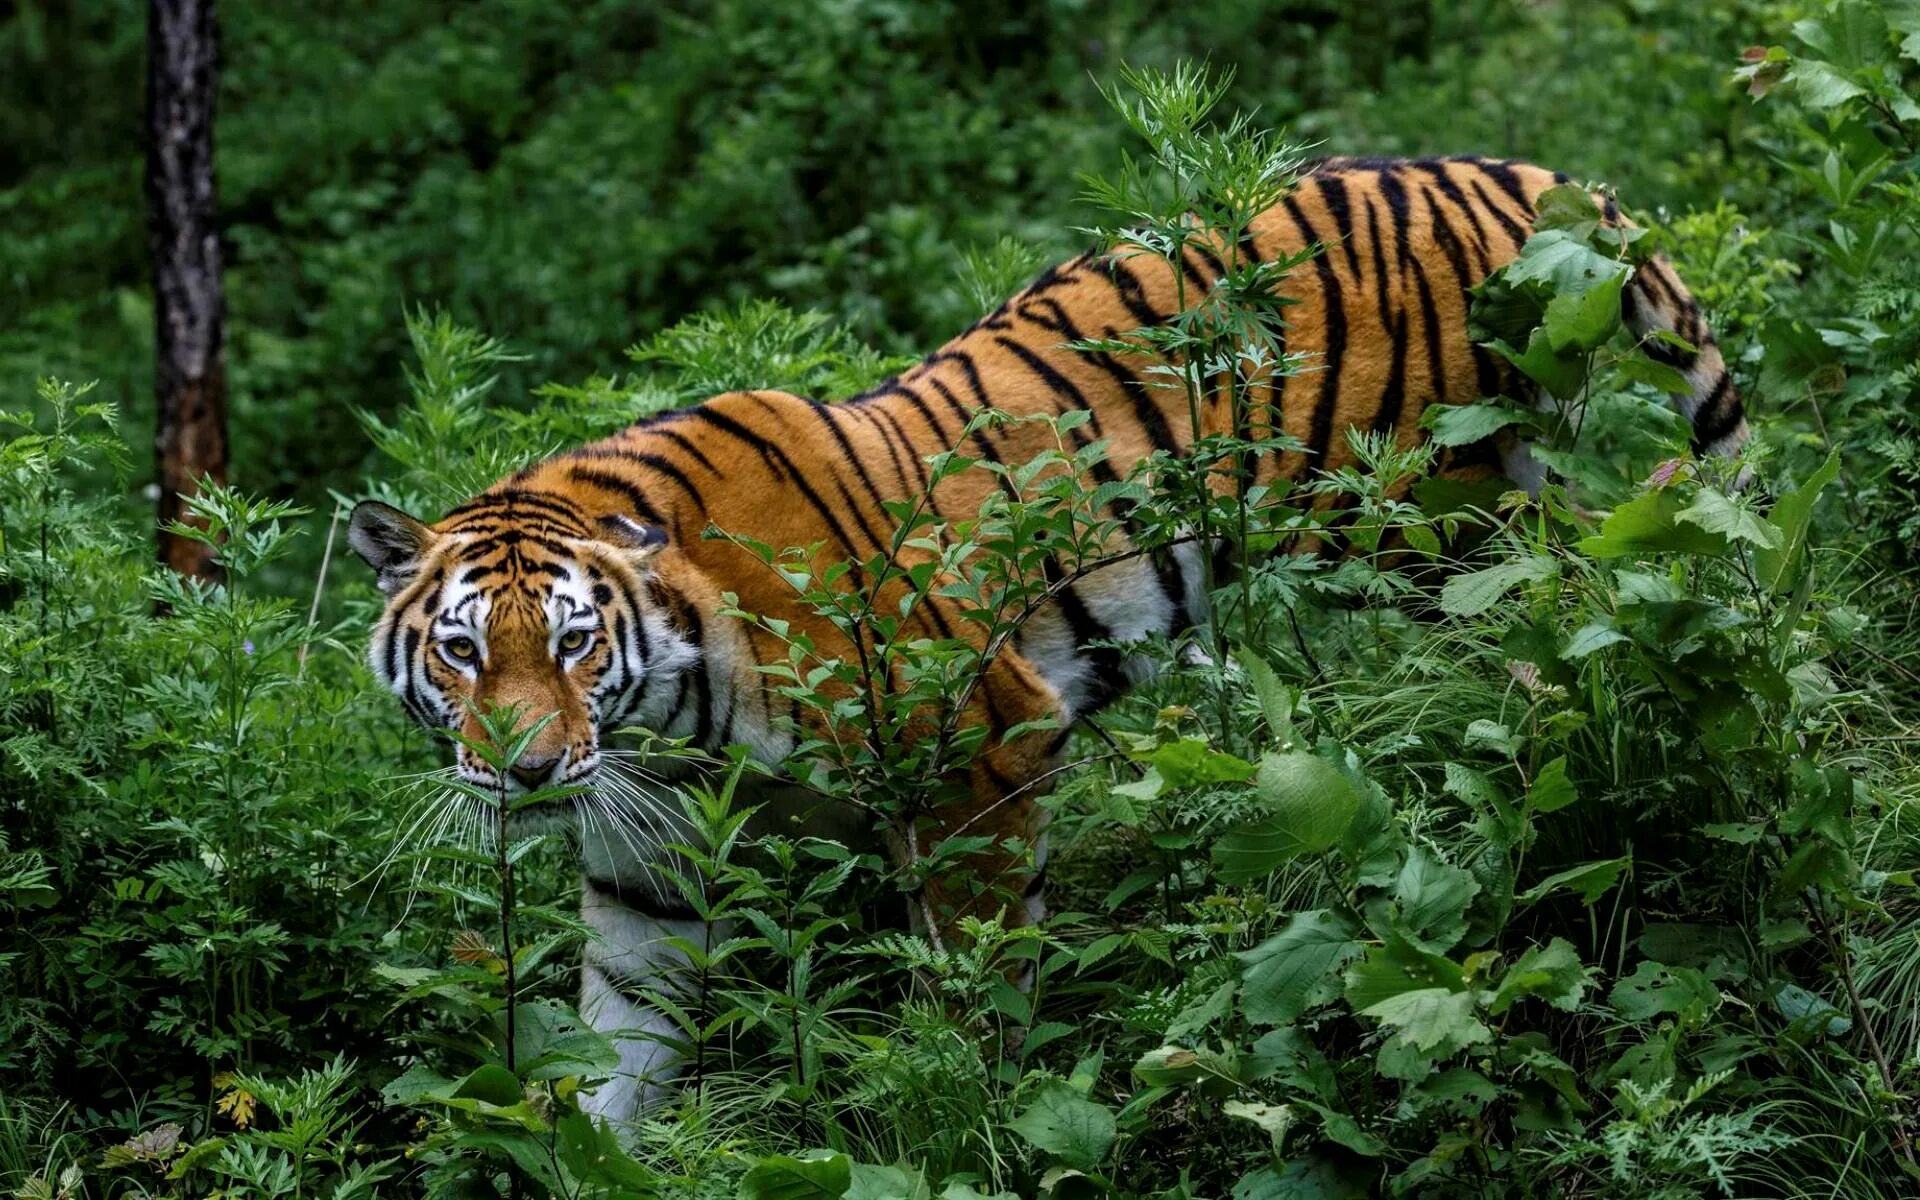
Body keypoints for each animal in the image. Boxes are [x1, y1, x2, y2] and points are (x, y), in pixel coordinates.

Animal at [349, 154, 1758, 1121]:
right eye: (465, 653)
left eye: (574, 645)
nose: (527, 772)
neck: (667, 725)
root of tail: (1518, 175)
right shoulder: (648, 867)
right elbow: (623, 1055)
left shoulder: (975, 748)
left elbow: (973, 984)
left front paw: (959, 1108)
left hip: (1440, 520)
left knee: (1525, 648)